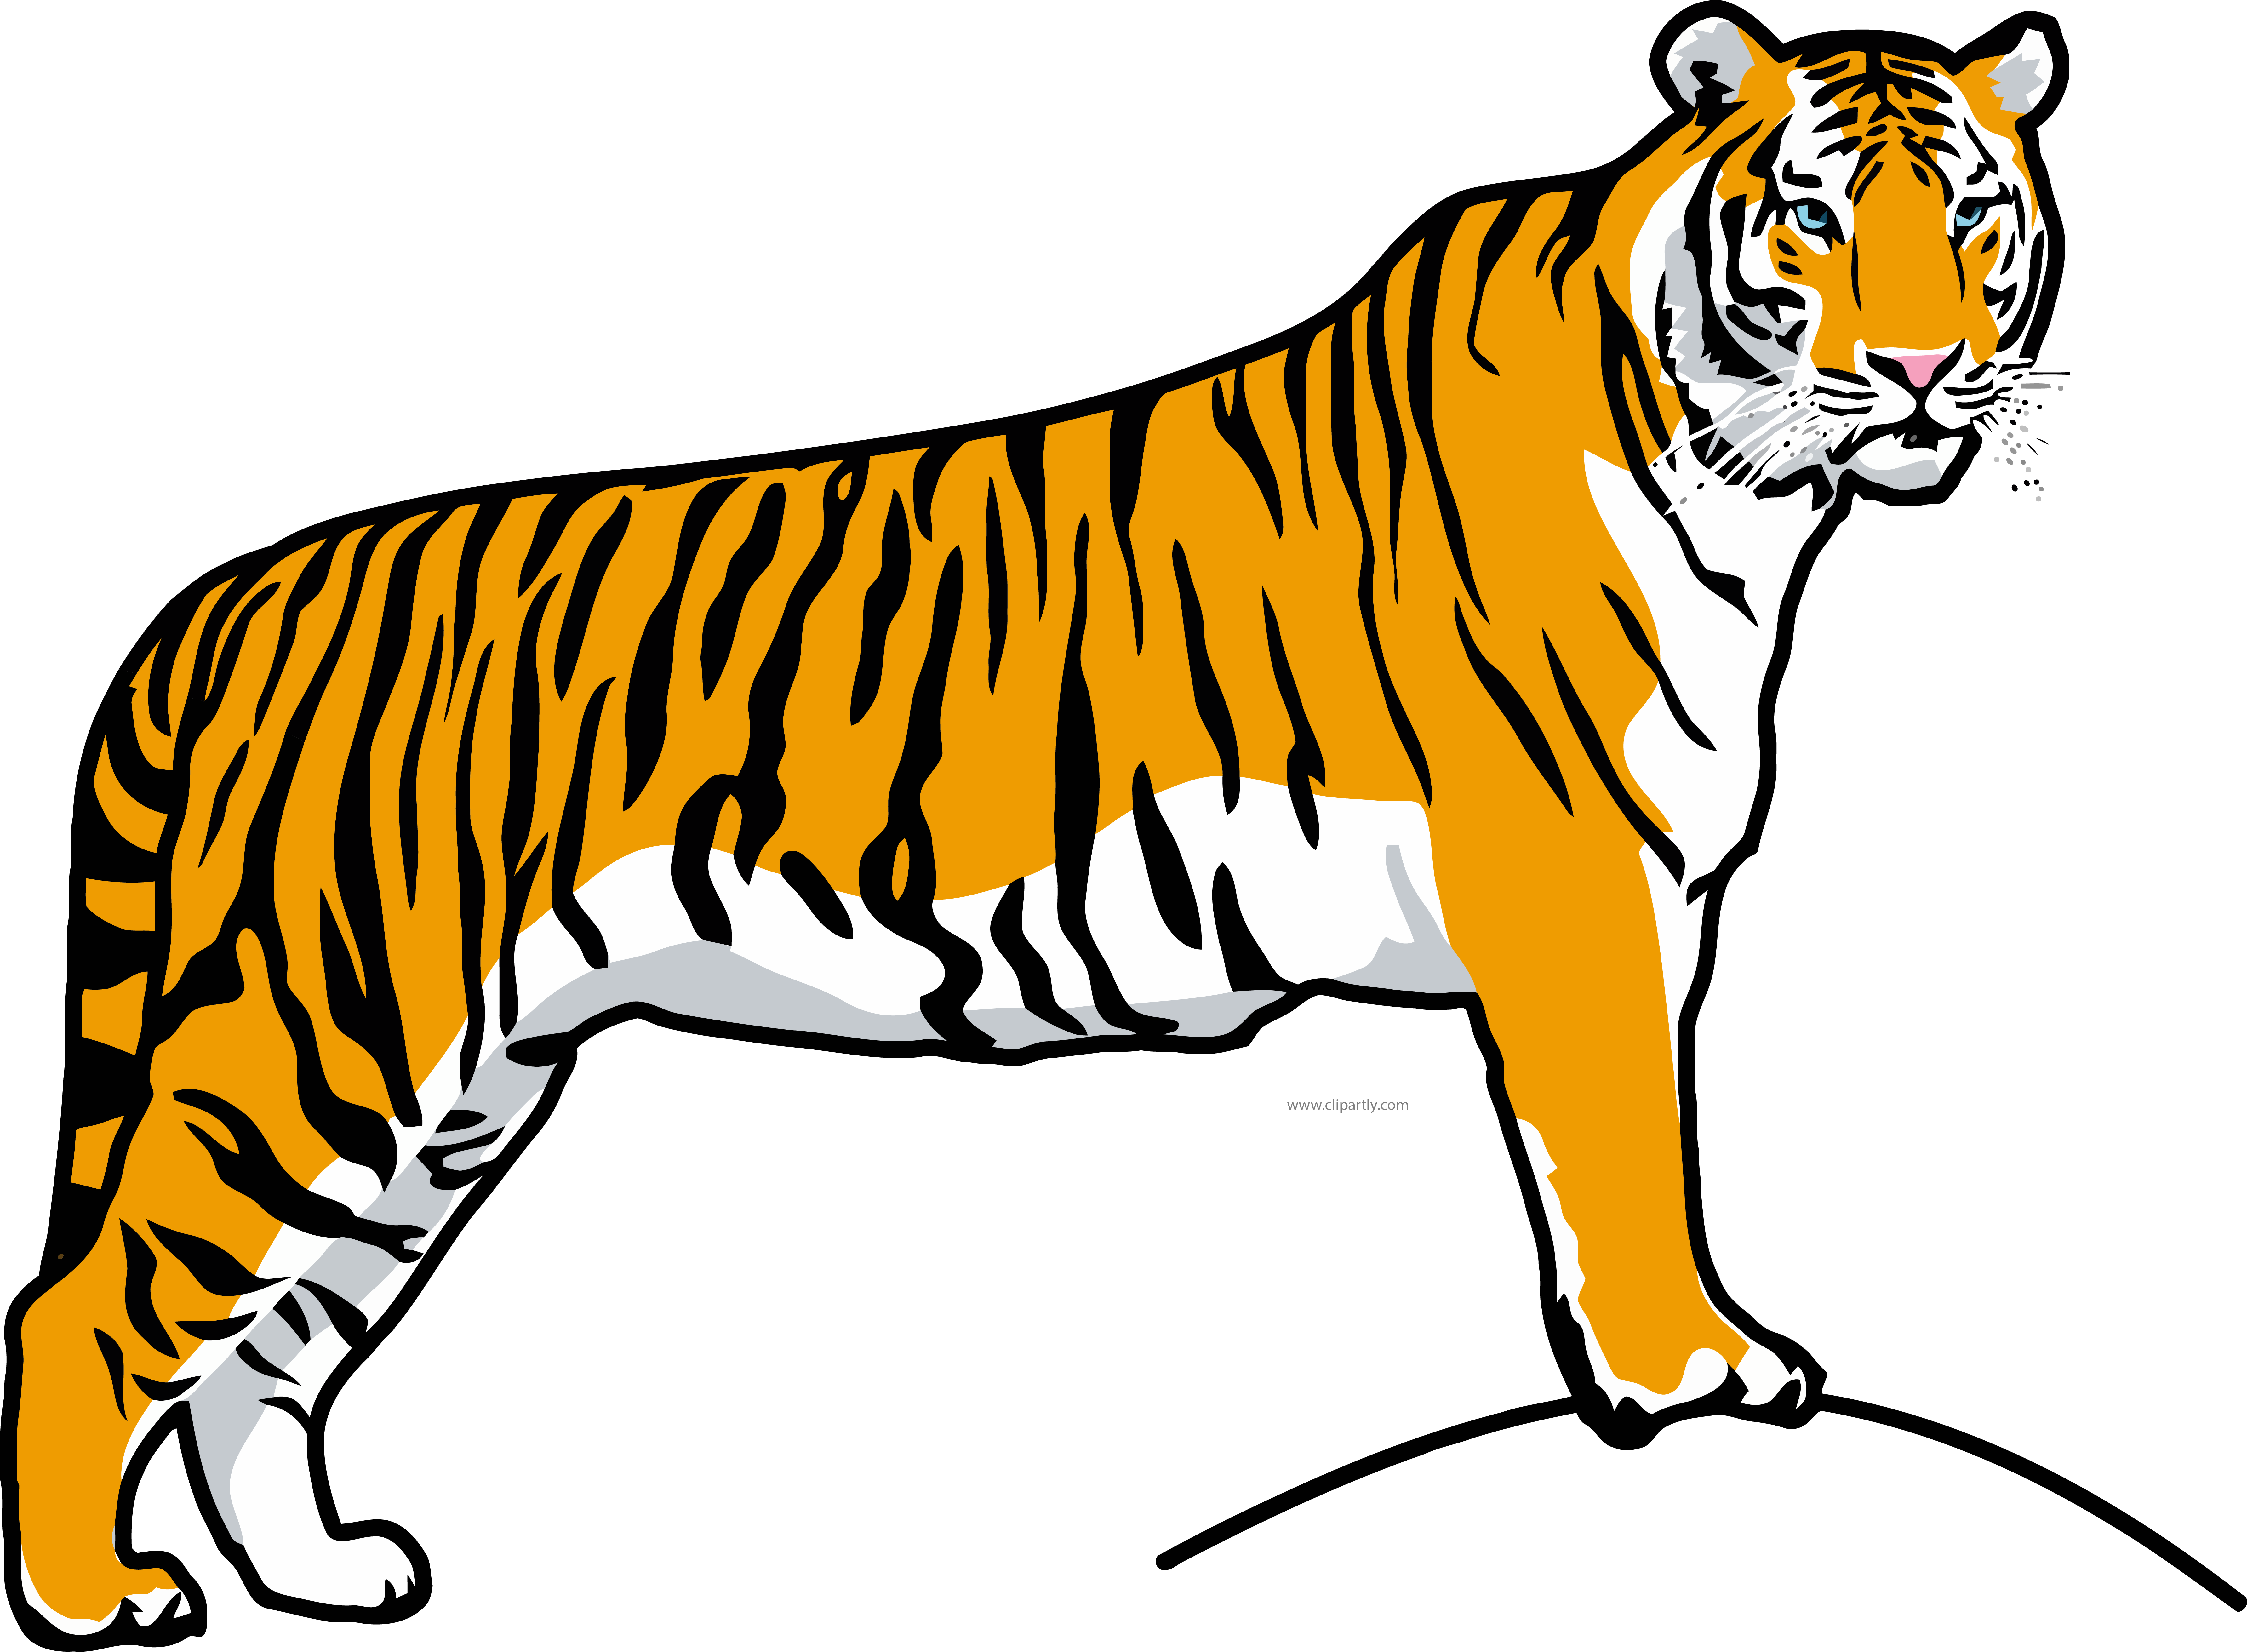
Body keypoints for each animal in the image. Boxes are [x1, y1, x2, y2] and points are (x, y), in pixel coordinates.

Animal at [22, 16, 2053, 1630]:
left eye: (1967, 214)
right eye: (1813, 217)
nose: (1937, 375)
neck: (1748, 489)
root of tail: (245, 593)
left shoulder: (1653, 901)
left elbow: (1635, 1140)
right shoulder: (1568, 889)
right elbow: (1626, 1148)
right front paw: (1689, 1367)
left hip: (449, 1093)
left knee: (268, 1347)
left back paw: (319, 1573)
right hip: (323, 1028)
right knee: (91, 1307)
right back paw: (92, 1595)